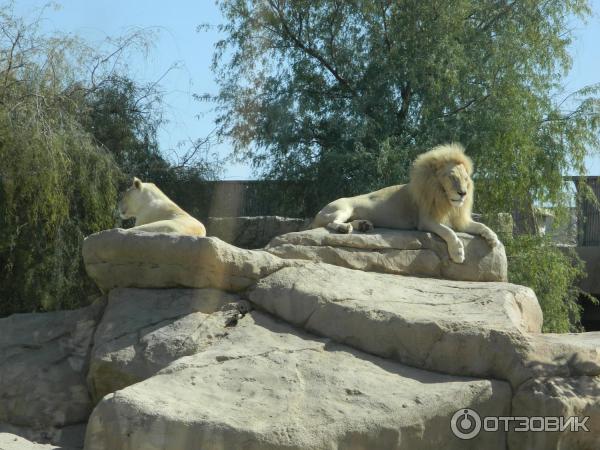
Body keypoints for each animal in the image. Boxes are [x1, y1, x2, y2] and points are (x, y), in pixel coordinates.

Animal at [312, 143, 500, 264]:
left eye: (466, 179)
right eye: (452, 177)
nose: (463, 193)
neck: (445, 199)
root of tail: (319, 212)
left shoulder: (459, 220)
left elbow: (481, 225)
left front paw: (493, 238)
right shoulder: (426, 221)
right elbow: (448, 232)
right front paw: (458, 252)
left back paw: (364, 225)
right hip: (343, 208)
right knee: (330, 222)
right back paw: (344, 228)